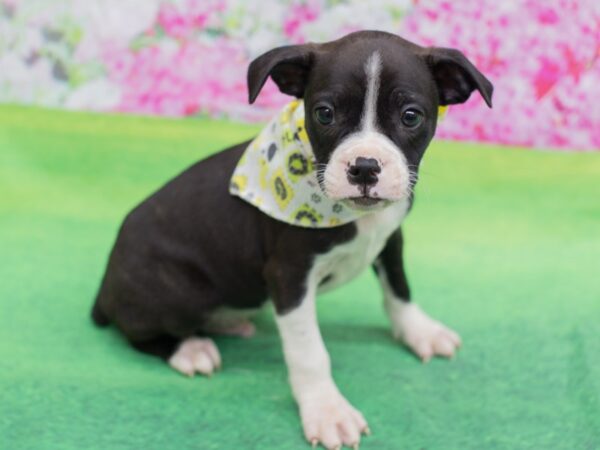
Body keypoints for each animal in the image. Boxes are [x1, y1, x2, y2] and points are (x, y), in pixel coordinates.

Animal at [90, 29, 492, 448]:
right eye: (325, 113)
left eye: (411, 116)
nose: (365, 167)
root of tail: (105, 287)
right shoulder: (290, 276)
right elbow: (309, 352)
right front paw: (327, 410)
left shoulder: (391, 237)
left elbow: (399, 288)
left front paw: (419, 331)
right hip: (180, 292)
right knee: (138, 331)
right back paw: (191, 348)